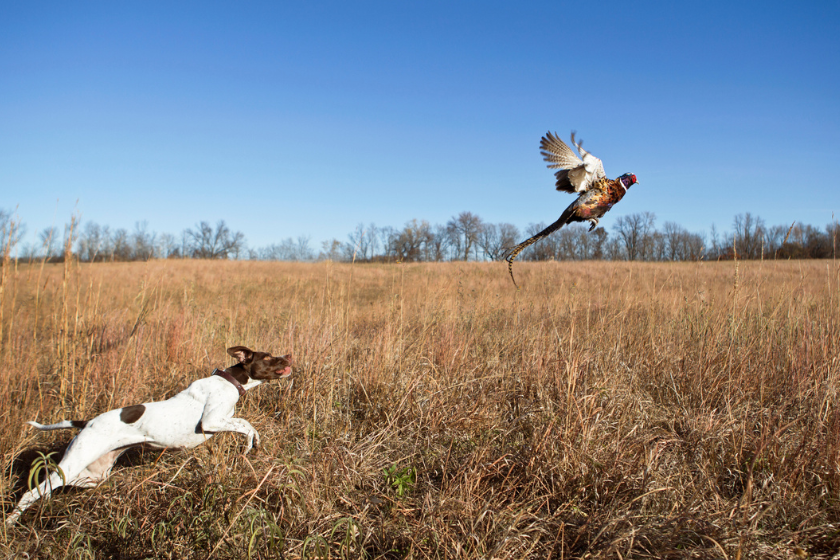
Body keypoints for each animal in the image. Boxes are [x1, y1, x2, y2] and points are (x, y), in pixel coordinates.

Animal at [4, 346, 292, 524]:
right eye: (268, 357)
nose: (289, 355)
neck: (229, 380)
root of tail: (87, 423)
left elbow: (245, 424)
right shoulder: (211, 421)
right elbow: (245, 423)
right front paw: (250, 442)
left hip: (92, 475)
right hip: (74, 461)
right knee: (31, 492)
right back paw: (9, 522)